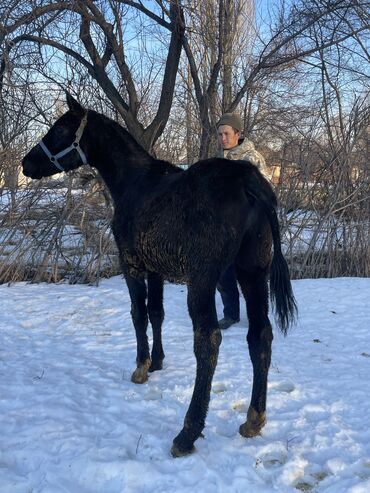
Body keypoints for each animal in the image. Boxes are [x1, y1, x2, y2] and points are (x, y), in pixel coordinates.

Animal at [21, 93, 296, 458]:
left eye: (62, 128)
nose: (26, 164)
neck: (133, 182)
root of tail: (248, 182)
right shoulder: (156, 269)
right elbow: (157, 313)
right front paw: (157, 362)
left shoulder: (131, 264)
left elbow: (138, 313)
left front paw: (140, 367)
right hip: (252, 273)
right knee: (260, 335)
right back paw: (254, 418)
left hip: (203, 281)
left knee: (208, 341)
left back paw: (188, 432)